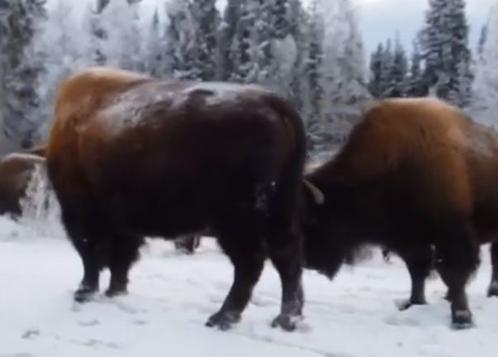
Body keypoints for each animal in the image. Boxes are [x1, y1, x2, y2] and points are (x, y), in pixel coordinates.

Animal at [44, 67, 308, 330]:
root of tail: (274, 104)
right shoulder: (122, 221)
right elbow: (121, 257)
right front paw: (115, 292)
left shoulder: (82, 212)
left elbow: (91, 254)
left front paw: (84, 292)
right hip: (278, 210)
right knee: (286, 257)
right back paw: (286, 319)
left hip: (236, 220)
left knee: (250, 262)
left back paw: (221, 317)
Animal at [302, 97, 498, 328]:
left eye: (313, 219)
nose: (308, 262)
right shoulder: (408, 237)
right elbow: (417, 271)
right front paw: (414, 303)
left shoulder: (452, 232)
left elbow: (453, 272)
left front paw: (461, 318)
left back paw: (491, 292)